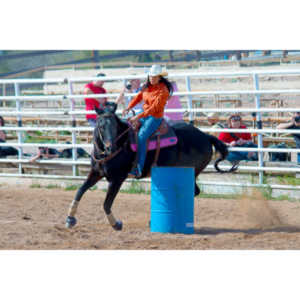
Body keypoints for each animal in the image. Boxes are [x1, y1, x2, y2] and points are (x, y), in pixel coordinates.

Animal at [65, 103, 234, 230]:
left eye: (114, 127)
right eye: (100, 126)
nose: (110, 148)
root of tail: (205, 136)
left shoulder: (117, 179)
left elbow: (106, 204)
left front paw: (116, 224)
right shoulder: (96, 173)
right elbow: (80, 191)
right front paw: (70, 219)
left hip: (191, 171)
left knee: (193, 191)